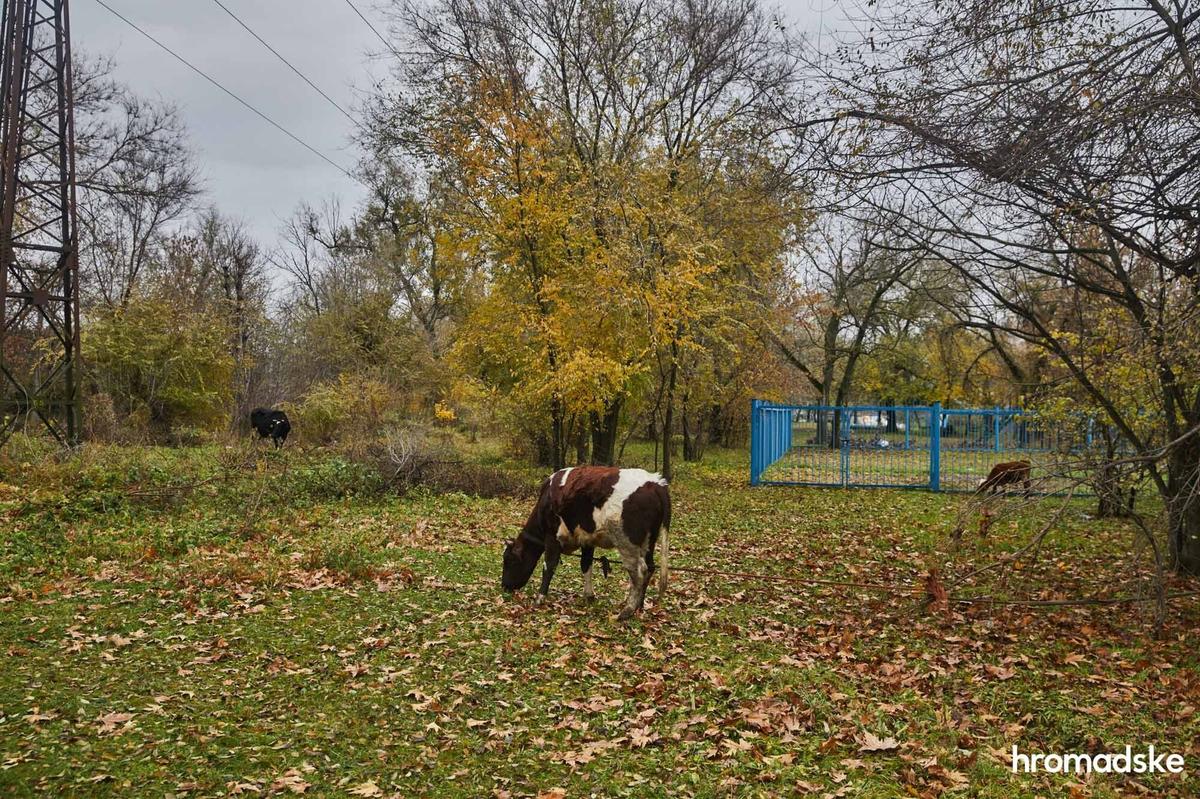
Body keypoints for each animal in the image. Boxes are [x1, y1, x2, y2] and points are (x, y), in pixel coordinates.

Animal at [501, 466, 670, 621]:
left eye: (509, 560)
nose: (504, 586)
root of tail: (656, 483)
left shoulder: (552, 536)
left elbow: (548, 567)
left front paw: (539, 598)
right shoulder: (587, 539)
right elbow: (585, 564)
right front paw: (589, 595)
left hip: (627, 543)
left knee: (639, 571)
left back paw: (627, 610)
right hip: (649, 541)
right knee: (651, 567)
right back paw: (639, 605)